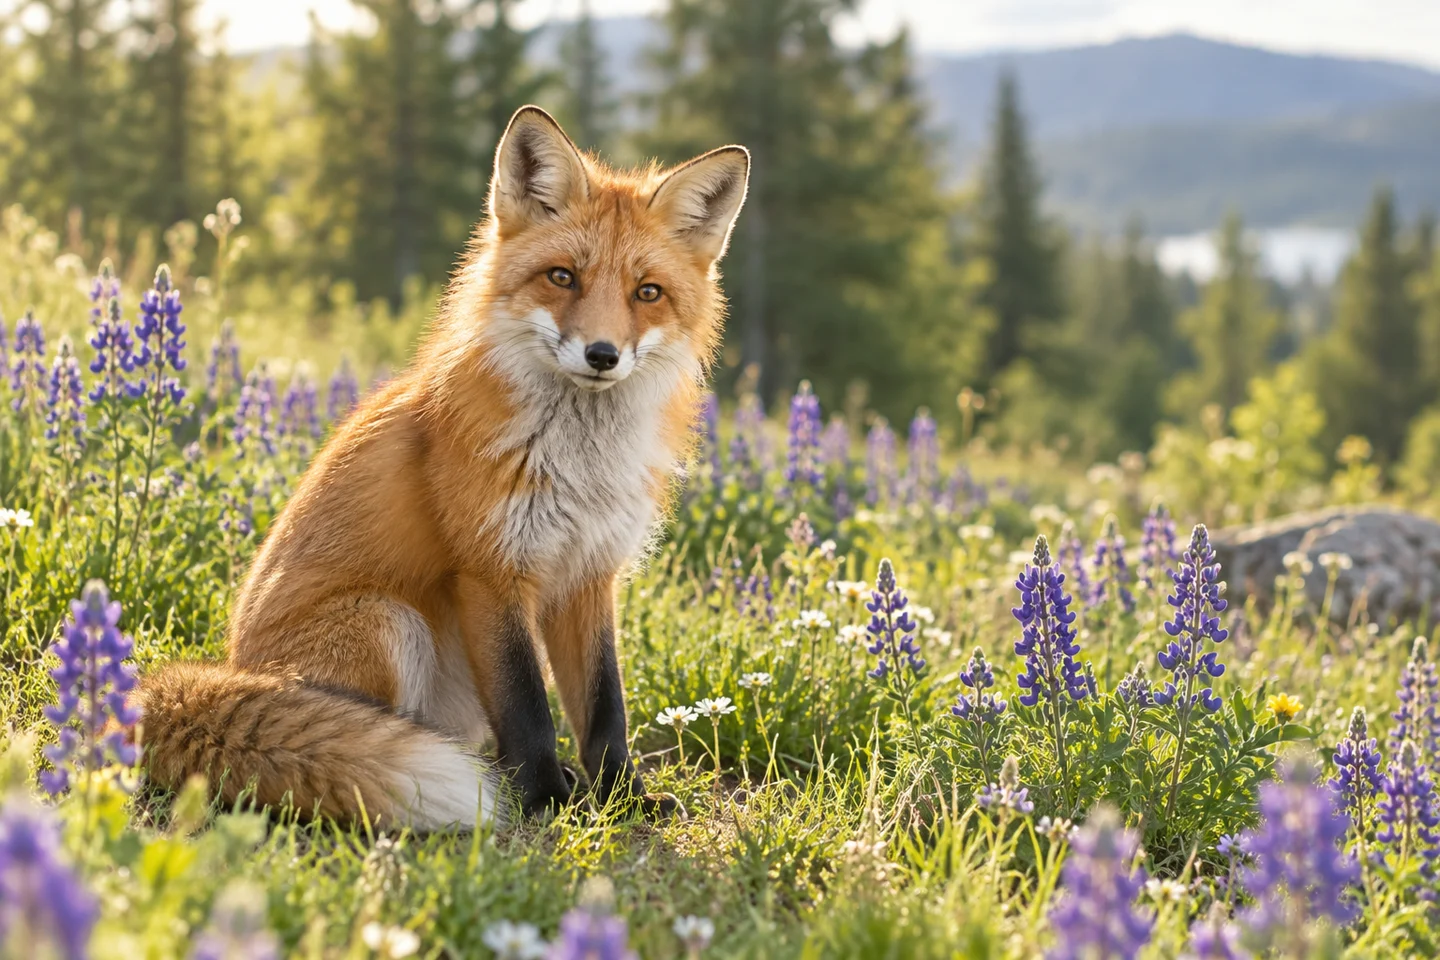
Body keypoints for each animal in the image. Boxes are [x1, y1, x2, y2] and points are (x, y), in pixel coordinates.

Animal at [133, 106, 750, 830]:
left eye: (647, 292)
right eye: (562, 277)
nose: (602, 355)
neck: (579, 465)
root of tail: (233, 671)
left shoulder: (589, 575)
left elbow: (605, 709)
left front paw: (622, 798)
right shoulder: (491, 569)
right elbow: (527, 708)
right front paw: (543, 798)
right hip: (387, 622)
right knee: (352, 737)